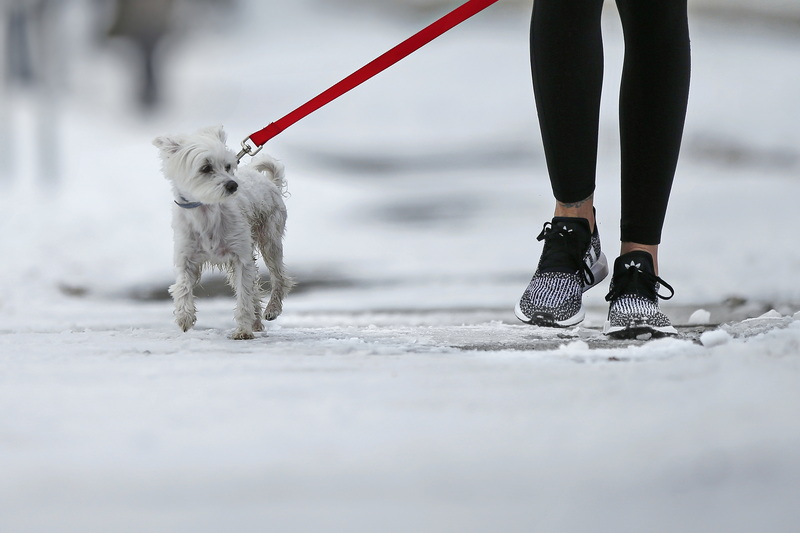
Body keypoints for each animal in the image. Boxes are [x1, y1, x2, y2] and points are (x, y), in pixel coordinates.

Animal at [152, 125, 292, 336]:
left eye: (227, 166)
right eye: (205, 168)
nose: (233, 184)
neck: (207, 212)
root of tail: (269, 182)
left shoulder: (241, 259)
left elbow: (244, 296)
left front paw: (243, 331)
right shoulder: (187, 257)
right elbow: (182, 286)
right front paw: (185, 317)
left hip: (270, 241)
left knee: (279, 278)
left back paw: (271, 309)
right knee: (257, 288)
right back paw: (256, 322)